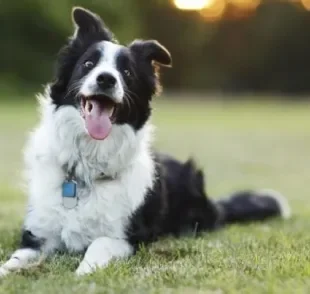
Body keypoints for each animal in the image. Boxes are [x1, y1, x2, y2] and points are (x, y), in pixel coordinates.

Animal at [0, 7, 290, 278]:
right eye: (88, 64)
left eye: (126, 72)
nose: (106, 79)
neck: (87, 168)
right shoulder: (38, 235)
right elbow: (14, 259)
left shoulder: (129, 237)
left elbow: (99, 244)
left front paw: (82, 272)